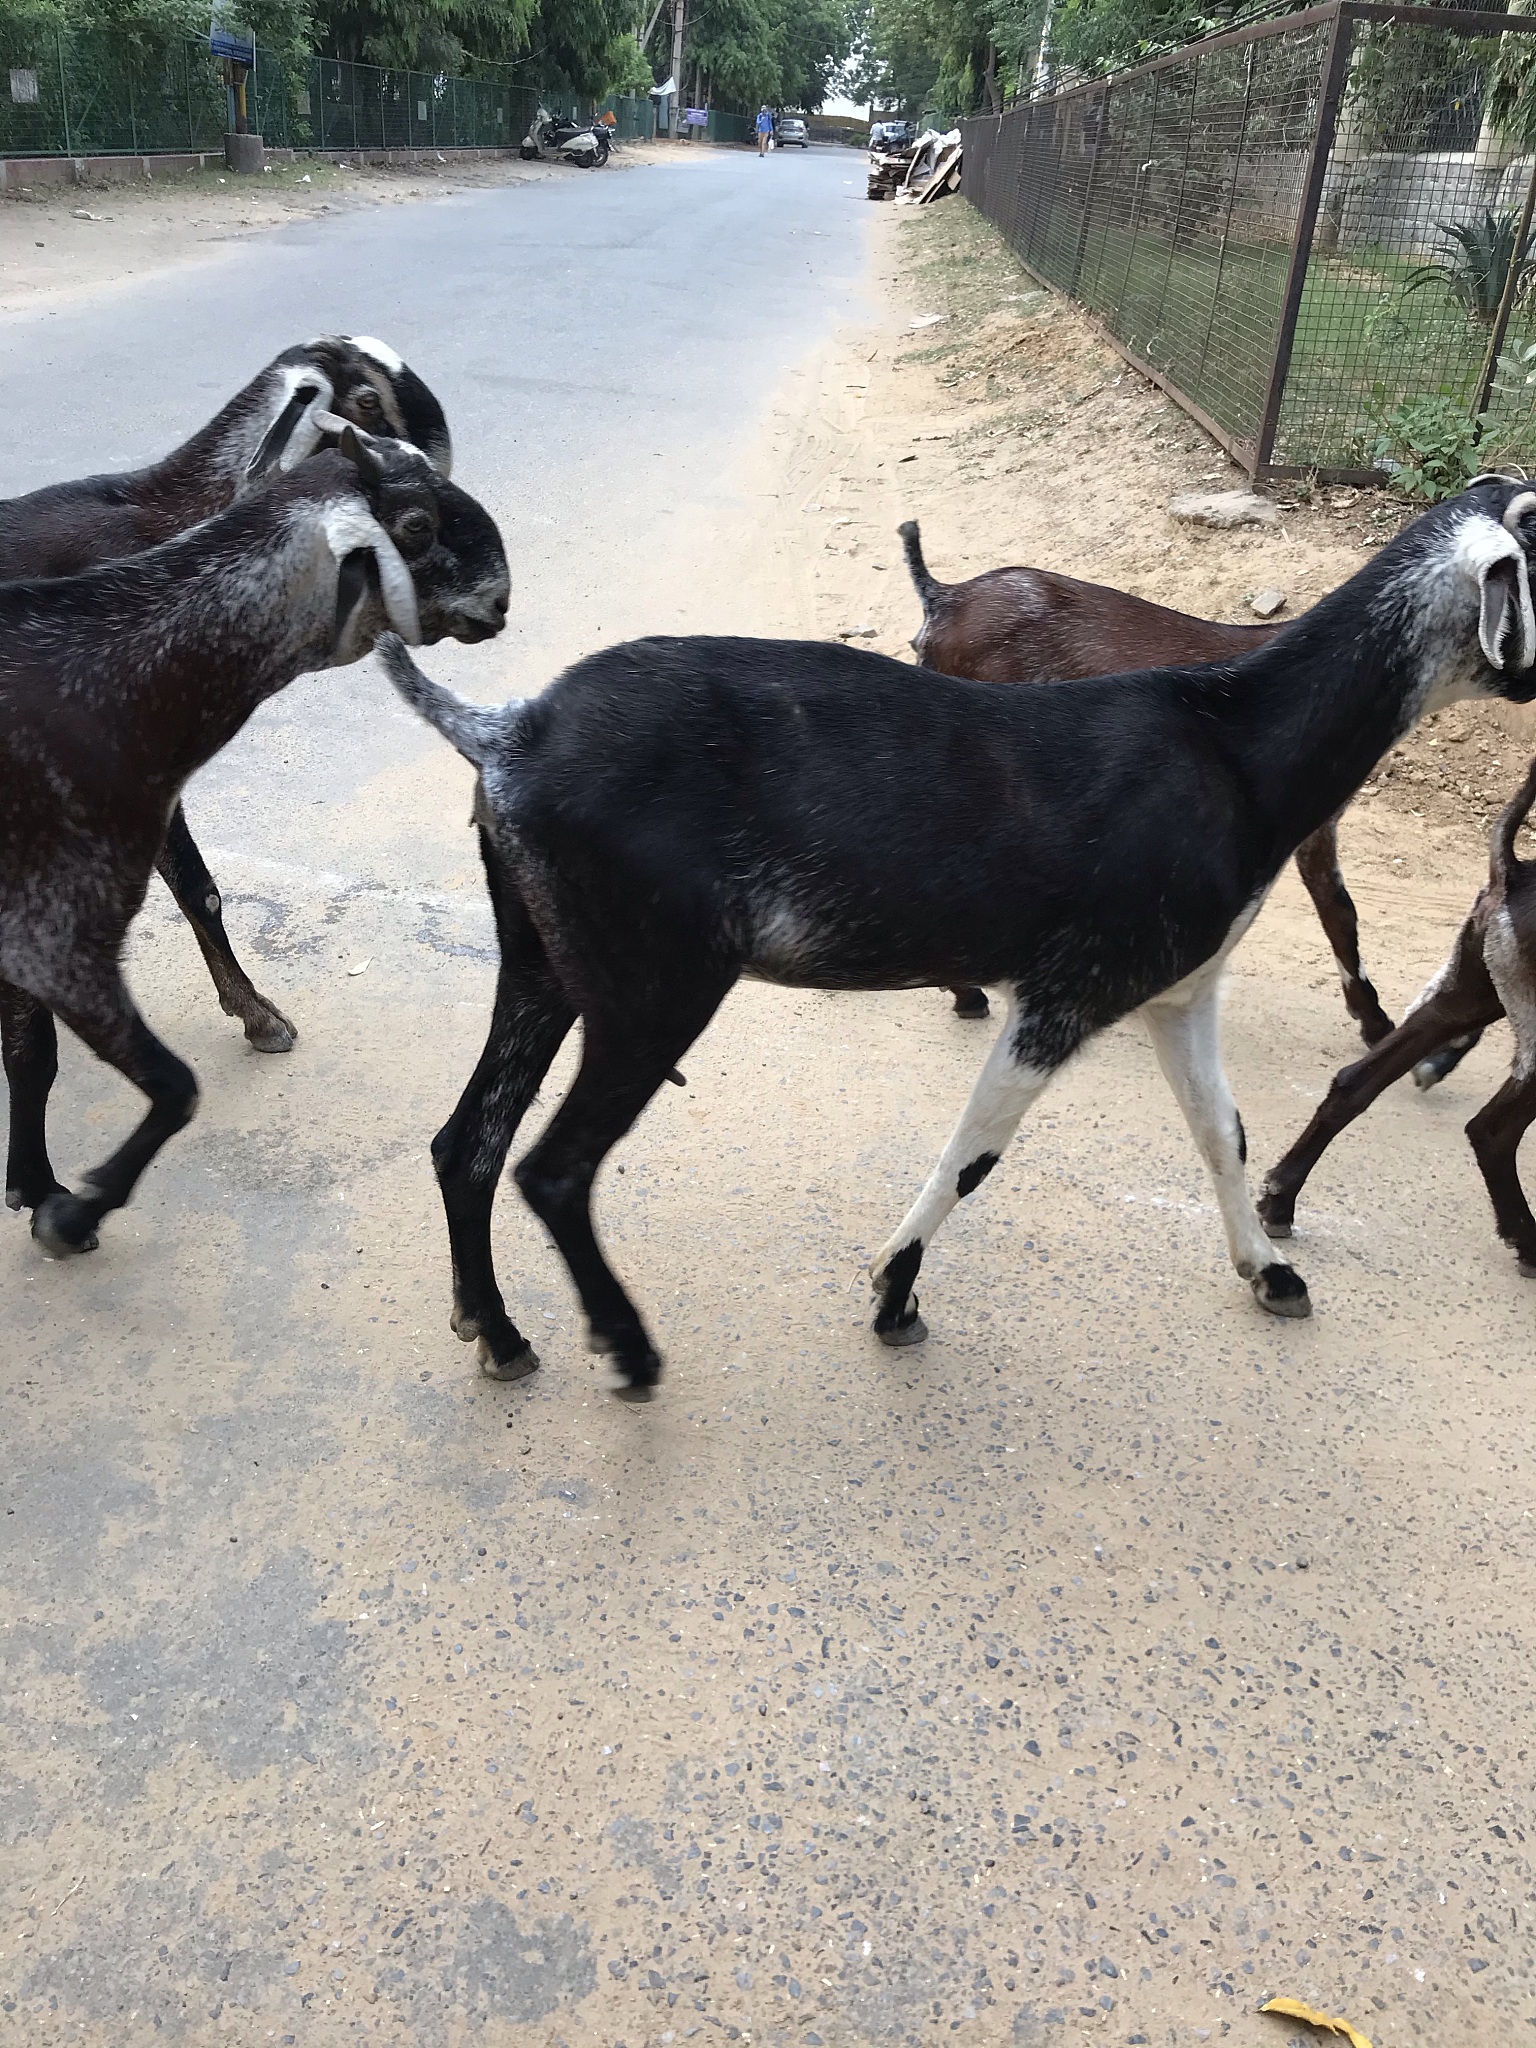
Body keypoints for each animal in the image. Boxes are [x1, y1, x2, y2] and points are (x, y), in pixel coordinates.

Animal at [1258, 758, 1536, 1271]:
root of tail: (1514, 873)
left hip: (1468, 999)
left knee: (1354, 1082)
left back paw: (1280, 1199)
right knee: (1492, 1130)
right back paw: (1526, 1240)